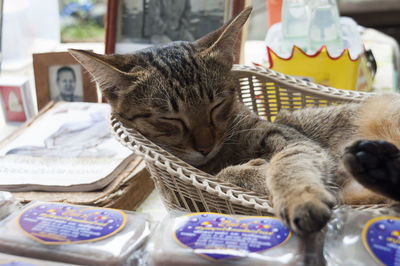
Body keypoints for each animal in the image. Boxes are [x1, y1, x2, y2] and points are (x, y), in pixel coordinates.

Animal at [69, 7, 400, 235]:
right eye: (169, 118)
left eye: (217, 104)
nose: (205, 146)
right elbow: (229, 174)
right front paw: (251, 170)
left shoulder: (292, 140)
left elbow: (284, 164)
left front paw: (296, 195)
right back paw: (374, 163)